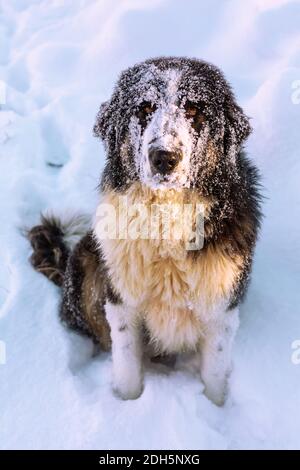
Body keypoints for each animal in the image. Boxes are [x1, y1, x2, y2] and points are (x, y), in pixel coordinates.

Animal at [28, 57, 262, 406]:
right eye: (145, 108)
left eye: (194, 109)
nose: (164, 157)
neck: (166, 222)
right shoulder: (122, 302)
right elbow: (127, 367)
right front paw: (128, 407)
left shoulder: (221, 308)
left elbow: (215, 377)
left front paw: (215, 408)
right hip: (87, 262)